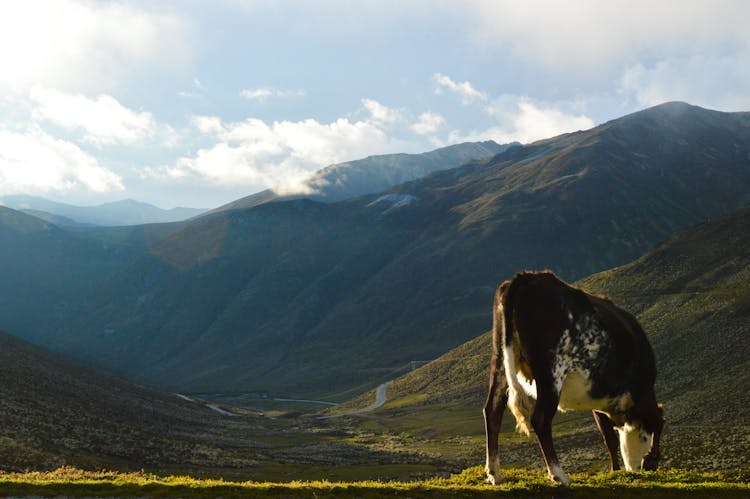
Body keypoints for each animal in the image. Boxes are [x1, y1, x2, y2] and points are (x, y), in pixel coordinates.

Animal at [482, 272, 664, 486]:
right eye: (645, 438)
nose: (639, 469)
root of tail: (527, 277)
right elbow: (655, 421)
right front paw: (646, 459)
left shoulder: (599, 398)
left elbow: (608, 436)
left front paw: (615, 470)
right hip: (552, 369)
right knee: (541, 419)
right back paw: (559, 475)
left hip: (500, 359)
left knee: (493, 411)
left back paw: (495, 474)